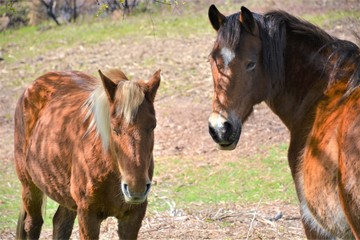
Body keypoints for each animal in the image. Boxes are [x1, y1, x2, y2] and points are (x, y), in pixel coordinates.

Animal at [13, 68, 160, 239]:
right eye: (114, 129)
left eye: (153, 126)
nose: (136, 188)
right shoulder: (88, 215)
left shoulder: (132, 217)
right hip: (29, 185)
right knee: (33, 224)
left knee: (60, 223)